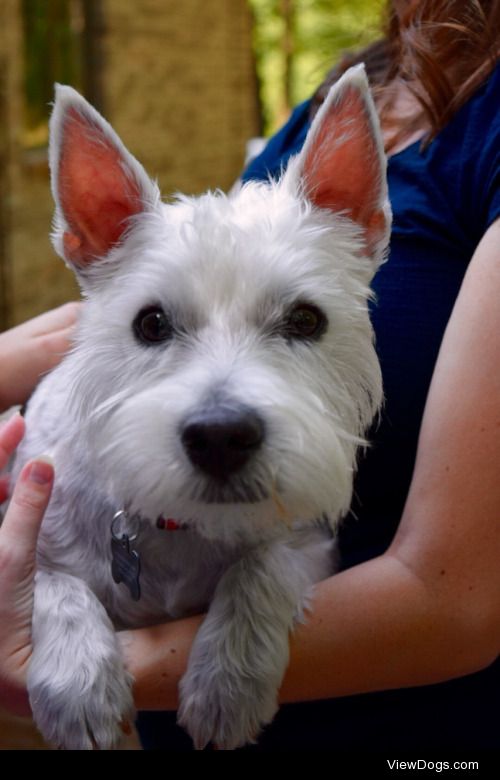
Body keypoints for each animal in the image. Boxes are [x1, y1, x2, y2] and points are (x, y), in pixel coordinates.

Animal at [12, 67, 390, 748]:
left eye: (306, 319)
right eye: (151, 323)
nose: (220, 436)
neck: (178, 526)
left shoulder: (310, 546)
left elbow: (261, 566)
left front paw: (226, 683)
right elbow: (52, 585)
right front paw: (80, 688)